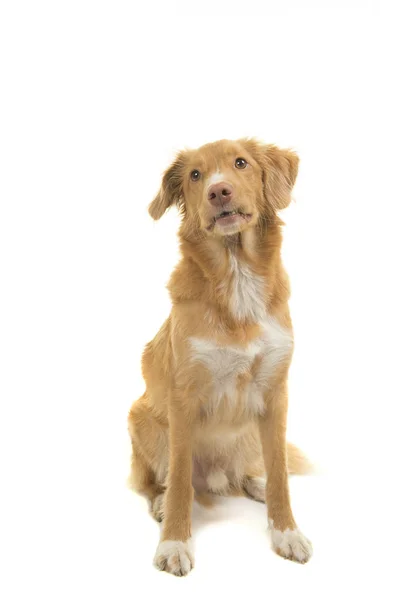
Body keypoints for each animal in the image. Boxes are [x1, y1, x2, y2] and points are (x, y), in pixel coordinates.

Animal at [128, 137, 312, 576]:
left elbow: (280, 472)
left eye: (240, 163)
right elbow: (178, 480)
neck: (236, 271)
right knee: (156, 482)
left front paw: (286, 530)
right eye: (196, 175)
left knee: (249, 471)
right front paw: (174, 542)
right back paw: (161, 503)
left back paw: (254, 485)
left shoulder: (276, 394)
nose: (219, 191)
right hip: (142, 419)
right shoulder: (183, 397)